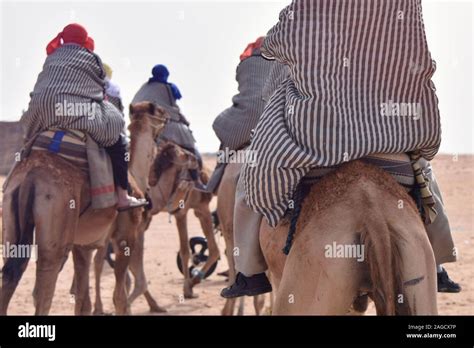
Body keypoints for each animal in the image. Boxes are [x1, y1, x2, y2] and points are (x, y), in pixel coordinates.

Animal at [0, 103, 168, 316]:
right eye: (160, 111)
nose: (169, 117)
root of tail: (31, 176)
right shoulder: (125, 236)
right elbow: (119, 297)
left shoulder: (83, 245)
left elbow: (82, 301)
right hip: (57, 220)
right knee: (44, 284)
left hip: (10, 217)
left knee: (11, 275)